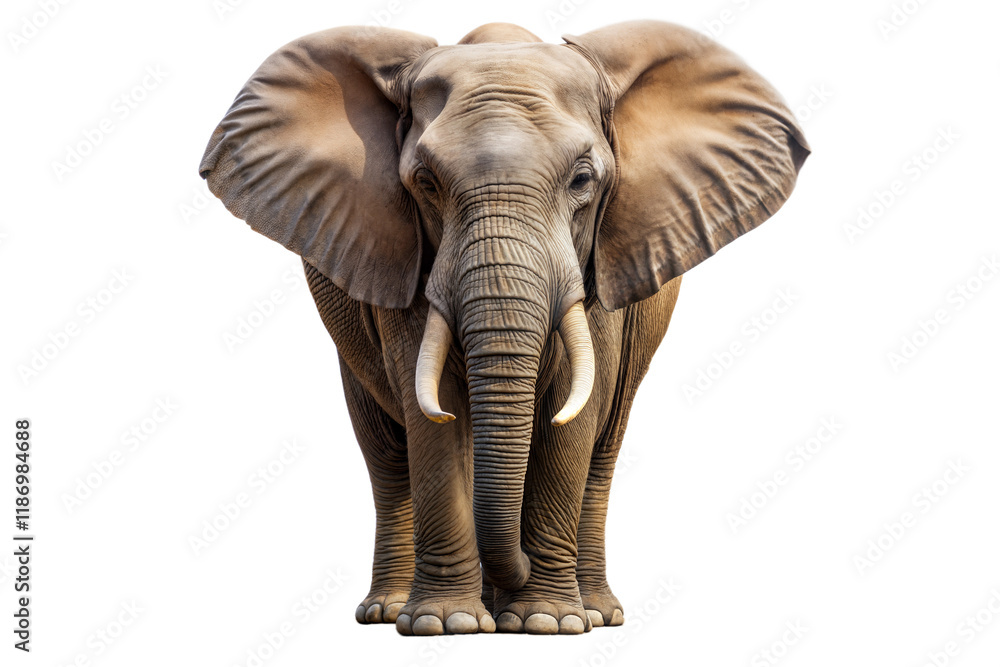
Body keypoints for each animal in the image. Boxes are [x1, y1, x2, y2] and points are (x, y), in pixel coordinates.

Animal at [199, 20, 808, 636]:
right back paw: (390, 610)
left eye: (583, 180)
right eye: (425, 182)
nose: (517, 569)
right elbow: (433, 407)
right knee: (387, 453)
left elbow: (573, 409)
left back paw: (596, 612)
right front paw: (445, 624)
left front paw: (545, 622)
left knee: (604, 445)